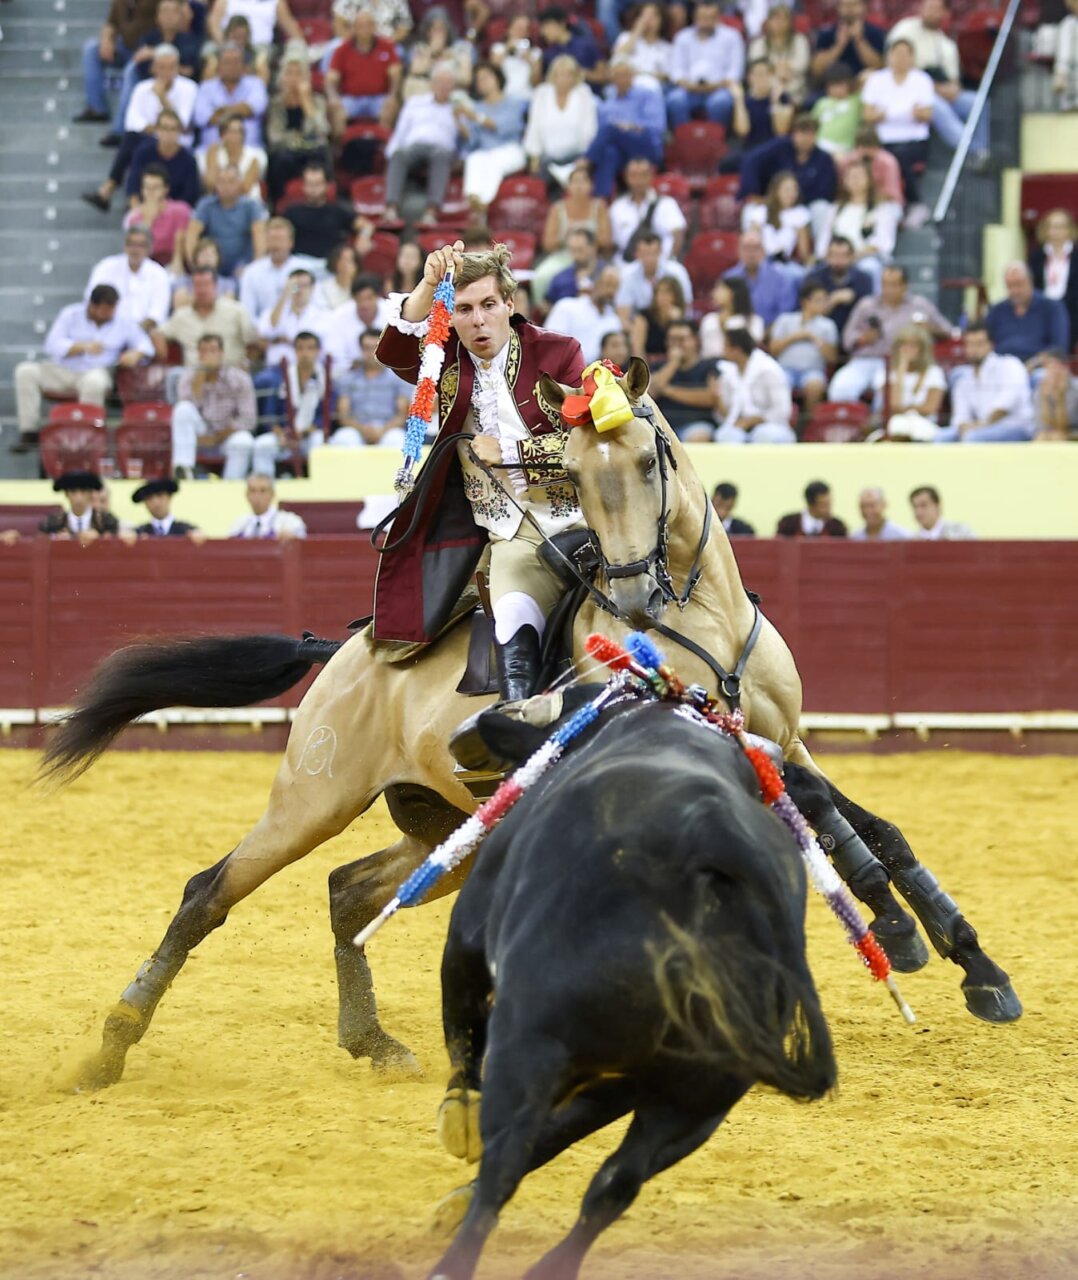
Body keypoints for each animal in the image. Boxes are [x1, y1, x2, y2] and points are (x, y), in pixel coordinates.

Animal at [43, 359, 1020, 1093]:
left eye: (651, 463)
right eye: (577, 478)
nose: (630, 595)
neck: (701, 619)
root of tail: (349, 650)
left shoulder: (787, 737)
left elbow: (867, 822)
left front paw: (967, 960)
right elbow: (829, 813)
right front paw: (905, 933)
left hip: (447, 830)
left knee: (349, 890)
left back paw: (373, 1040)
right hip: (312, 798)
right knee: (208, 890)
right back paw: (112, 1044)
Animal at [428, 689, 837, 1280]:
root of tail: (717, 841)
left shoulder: (467, 939)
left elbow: (462, 1032)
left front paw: (456, 1123)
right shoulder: (629, 1083)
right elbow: (566, 1135)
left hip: (534, 1041)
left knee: (507, 1158)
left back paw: (453, 1259)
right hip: (700, 1094)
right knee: (616, 1183)